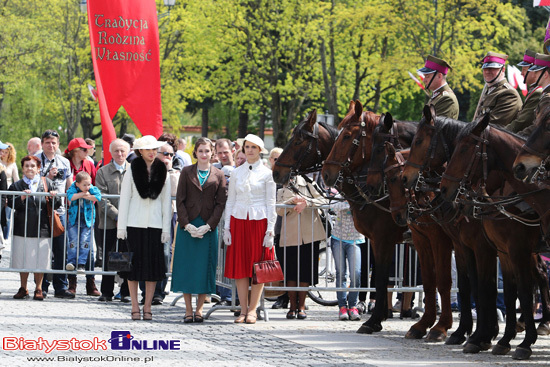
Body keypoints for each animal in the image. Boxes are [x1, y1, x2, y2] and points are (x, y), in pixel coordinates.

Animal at [440, 116, 550, 360]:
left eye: (464, 148)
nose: (444, 190)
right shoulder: (502, 252)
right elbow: (507, 293)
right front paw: (502, 339)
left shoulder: (509, 251)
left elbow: (518, 293)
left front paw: (524, 343)